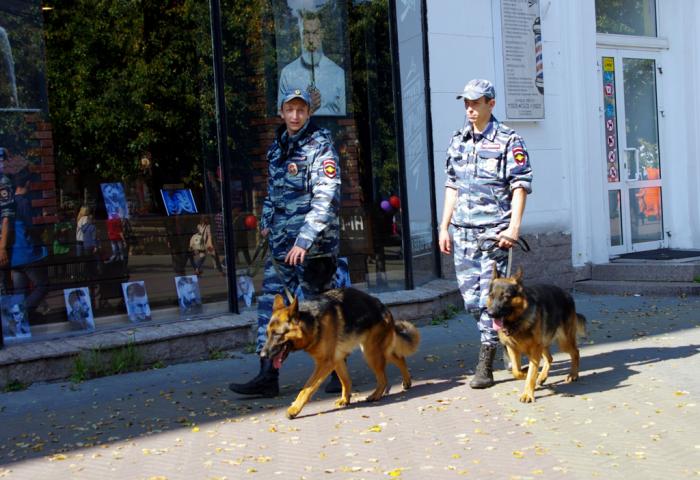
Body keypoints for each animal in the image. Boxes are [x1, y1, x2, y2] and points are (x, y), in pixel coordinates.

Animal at [258, 286, 418, 418]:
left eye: (277, 334)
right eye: (267, 334)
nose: (262, 355)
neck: (312, 322)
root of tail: (385, 308)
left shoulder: (325, 363)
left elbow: (306, 388)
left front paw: (294, 409)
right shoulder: (336, 359)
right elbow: (345, 381)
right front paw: (345, 399)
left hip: (370, 353)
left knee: (383, 378)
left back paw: (376, 395)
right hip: (374, 351)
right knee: (399, 358)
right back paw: (407, 381)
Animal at [486, 264, 584, 404]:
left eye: (506, 296)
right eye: (491, 295)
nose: (490, 313)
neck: (518, 321)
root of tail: (566, 294)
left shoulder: (534, 350)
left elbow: (531, 374)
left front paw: (527, 393)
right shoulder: (512, 348)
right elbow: (516, 371)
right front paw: (525, 373)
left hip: (563, 342)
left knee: (575, 352)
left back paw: (573, 374)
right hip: (543, 344)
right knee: (550, 358)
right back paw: (542, 376)